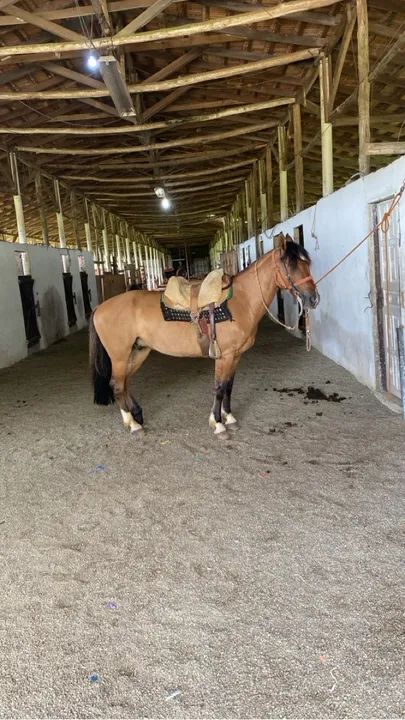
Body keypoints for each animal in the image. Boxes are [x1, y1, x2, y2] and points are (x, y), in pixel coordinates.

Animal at [89, 234, 319, 439]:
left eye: (307, 263)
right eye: (291, 265)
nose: (313, 299)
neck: (241, 301)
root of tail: (100, 308)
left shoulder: (236, 356)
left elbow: (229, 386)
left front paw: (229, 418)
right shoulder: (225, 356)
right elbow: (219, 388)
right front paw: (218, 425)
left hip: (139, 351)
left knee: (125, 382)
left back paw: (137, 415)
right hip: (120, 356)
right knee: (117, 385)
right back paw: (133, 424)